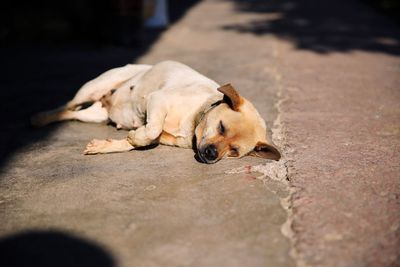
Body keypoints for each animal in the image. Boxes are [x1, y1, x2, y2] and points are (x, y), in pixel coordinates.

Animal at [31, 61, 282, 164]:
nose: (211, 155)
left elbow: (136, 141)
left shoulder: (162, 135)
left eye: (234, 151)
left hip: (95, 115)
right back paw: (40, 118)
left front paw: (105, 146)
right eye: (221, 127)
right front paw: (134, 136)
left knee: (73, 113)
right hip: (92, 87)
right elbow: (150, 130)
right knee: (68, 105)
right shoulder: (156, 100)